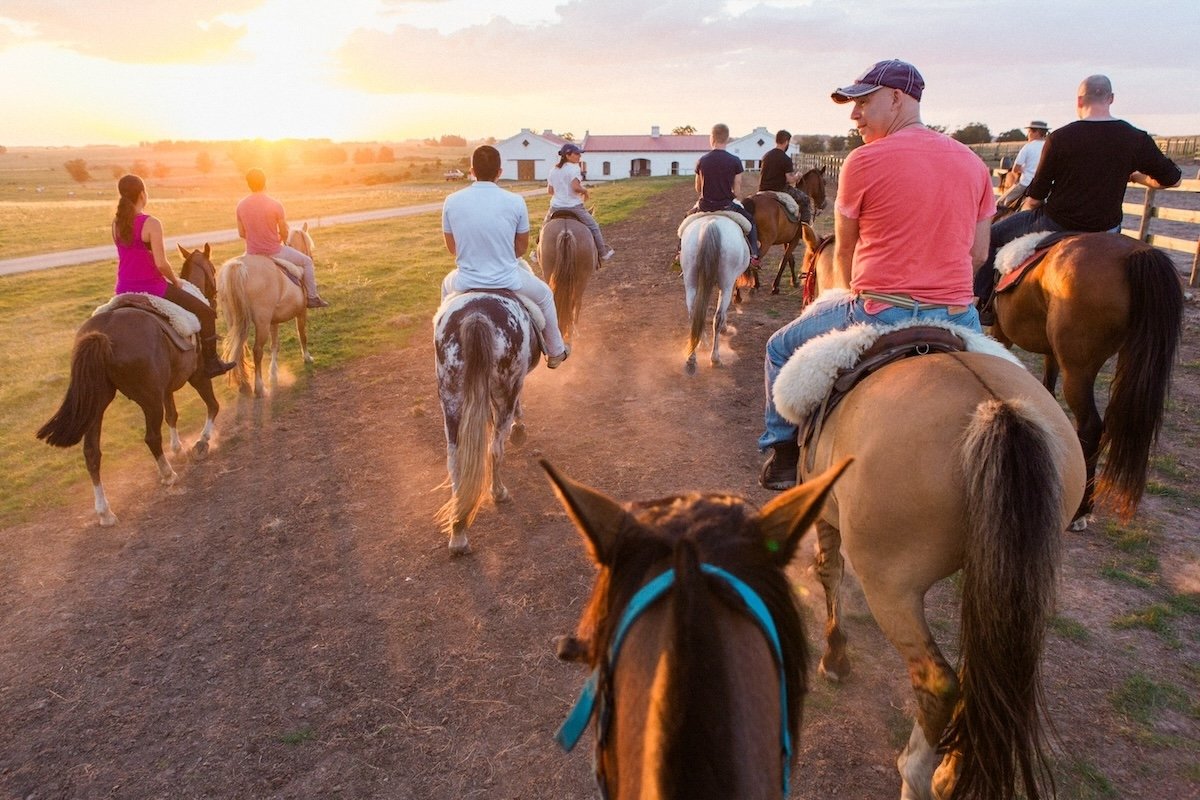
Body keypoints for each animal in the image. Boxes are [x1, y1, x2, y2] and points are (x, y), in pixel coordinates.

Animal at [36, 247, 223, 527]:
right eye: (212, 268)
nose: (214, 299)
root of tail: (102, 333)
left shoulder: (165, 389)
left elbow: (173, 415)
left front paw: (178, 448)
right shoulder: (197, 376)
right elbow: (212, 405)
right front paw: (201, 442)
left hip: (97, 404)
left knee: (91, 452)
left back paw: (104, 511)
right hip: (149, 399)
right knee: (151, 437)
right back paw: (167, 474)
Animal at [436, 289, 540, 556]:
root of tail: (477, 314)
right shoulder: (514, 385)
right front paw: (519, 429)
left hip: (451, 396)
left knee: (455, 460)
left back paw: (458, 533)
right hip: (505, 388)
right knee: (495, 448)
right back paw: (499, 492)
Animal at [681, 212, 753, 376]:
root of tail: (710, 225)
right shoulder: (730, 282)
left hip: (690, 281)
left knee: (694, 314)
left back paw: (692, 358)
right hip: (726, 282)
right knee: (717, 317)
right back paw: (715, 358)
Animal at [988, 231, 1185, 520]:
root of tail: (1137, 253)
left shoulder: (1000, 333)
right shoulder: (1051, 353)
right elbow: (1047, 389)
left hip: (1078, 369)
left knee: (1091, 427)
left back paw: (1081, 510)